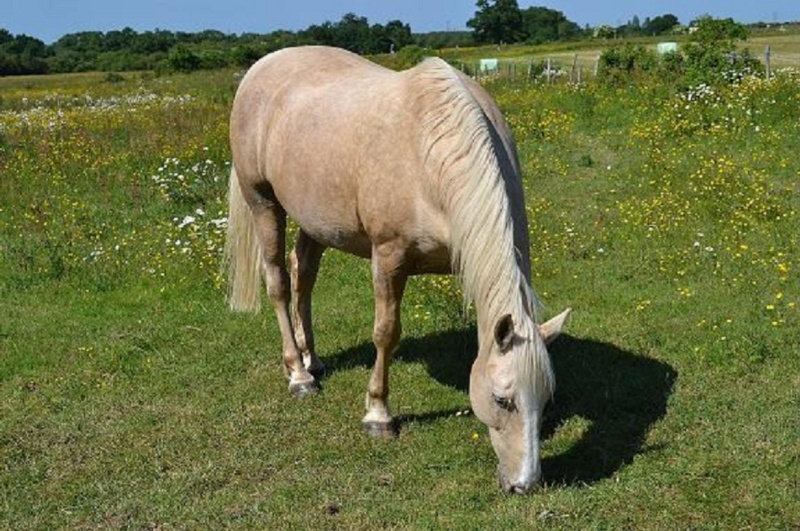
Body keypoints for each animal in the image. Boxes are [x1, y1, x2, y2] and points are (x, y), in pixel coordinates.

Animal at [228, 45, 572, 494]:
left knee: (303, 275)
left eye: (546, 399)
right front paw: (378, 415)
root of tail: (262, 65)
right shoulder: (388, 258)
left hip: (314, 220)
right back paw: (299, 375)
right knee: (279, 284)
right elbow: (385, 333)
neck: (432, 152)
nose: (524, 483)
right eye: (502, 400)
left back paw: (311, 359)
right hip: (264, 203)